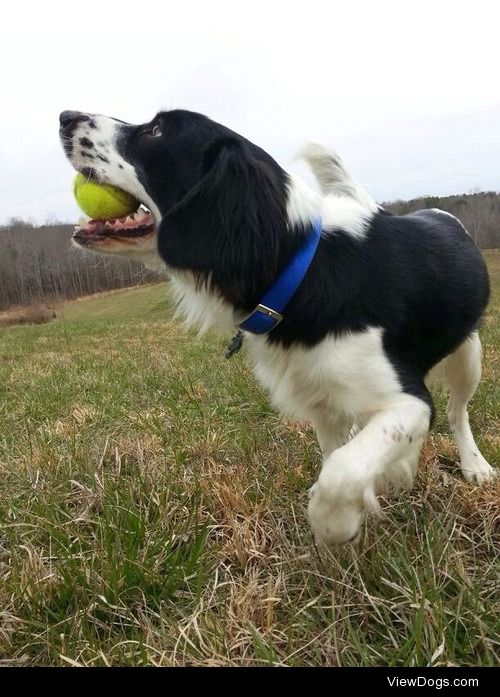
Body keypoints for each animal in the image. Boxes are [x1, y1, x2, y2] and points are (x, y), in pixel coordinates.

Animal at [60, 107, 494, 544]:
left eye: (156, 130)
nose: (66, 117)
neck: (301, 267)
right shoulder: (323, 402)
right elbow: (339, 457)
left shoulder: (410, 402)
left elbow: (342, 471)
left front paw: (334, 523)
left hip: (468, 356)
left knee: (457, 411)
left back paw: (475, 465)